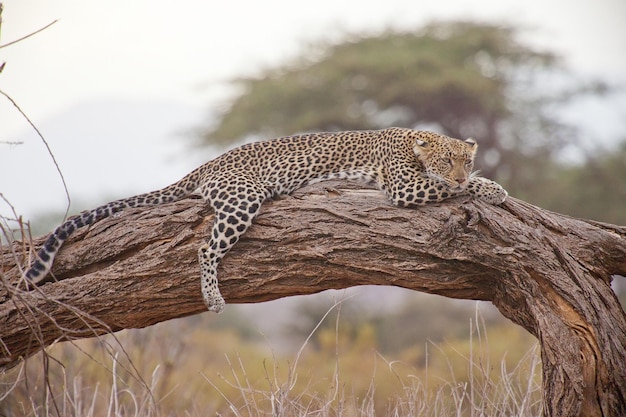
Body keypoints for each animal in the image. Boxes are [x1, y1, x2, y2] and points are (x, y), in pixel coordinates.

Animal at [24, 127, 508, 312]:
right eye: (447, 162)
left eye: (464, 159)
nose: (462, 170)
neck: (415, 141)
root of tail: (207, 165)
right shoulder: (404, 186)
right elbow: (451, 189)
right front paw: (491, 189)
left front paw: (488, 183)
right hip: (243, 198)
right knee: (206, 247)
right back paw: (213, 297)